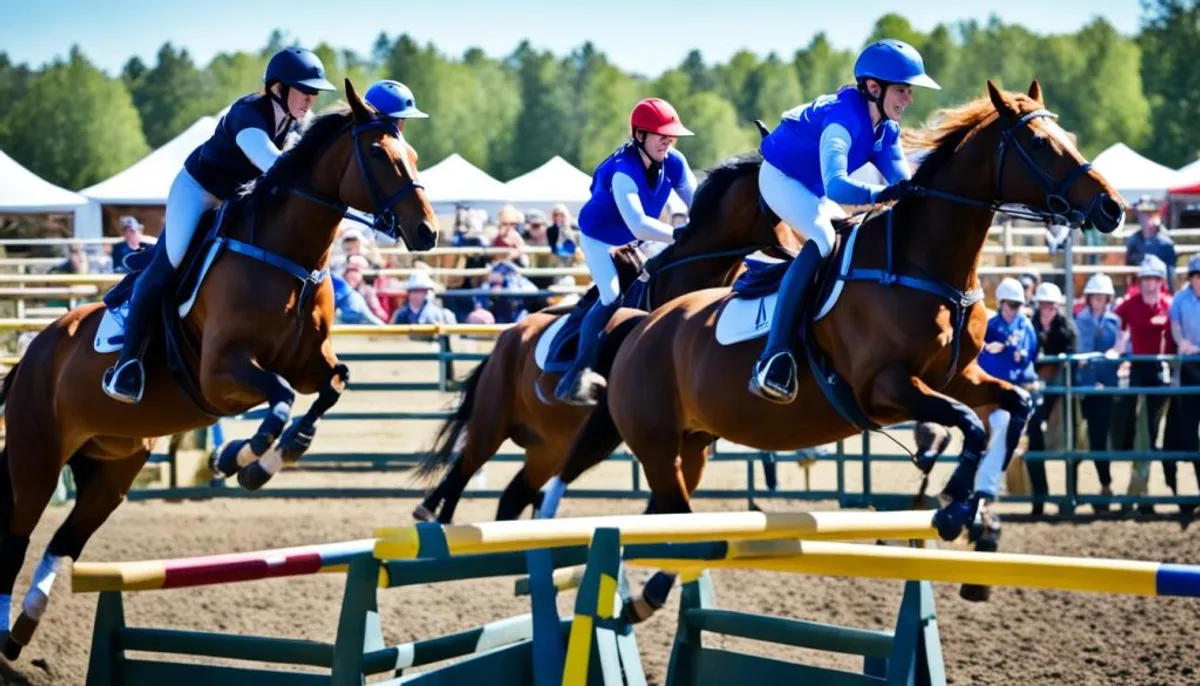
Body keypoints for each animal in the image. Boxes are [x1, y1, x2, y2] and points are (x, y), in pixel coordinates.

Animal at [0, 79, 439, 657]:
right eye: (377, 153)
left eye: (413, 155)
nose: (427, 232)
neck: (286, 255)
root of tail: (31, 355)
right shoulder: (221, 374)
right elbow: (280, 398)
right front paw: (240, 458)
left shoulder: (308, 365)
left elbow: (331, 387)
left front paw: (268, 460)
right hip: (37, 460)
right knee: (16, 536)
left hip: (110, 469)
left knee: (62, 540)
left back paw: (24, 625)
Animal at [410, 152, 796, 522]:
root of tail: (508, 337)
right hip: (492, 423)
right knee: (461, 472)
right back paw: (430, 510)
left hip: (548, 446)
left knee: (513, 496)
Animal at [552, 81, 1123, 623]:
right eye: (1039, 143)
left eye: (1069, 136)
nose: (1112, 208)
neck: (922, 263)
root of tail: (641, 326)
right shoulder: (884, 387)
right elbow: (971, 423)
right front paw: (954, 507)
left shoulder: (957, 377)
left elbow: (1014, 407)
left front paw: (974, 504)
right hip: (656, 445)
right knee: (668, 515)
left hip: (692, 446)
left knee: (666, 516)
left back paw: (647, 593)